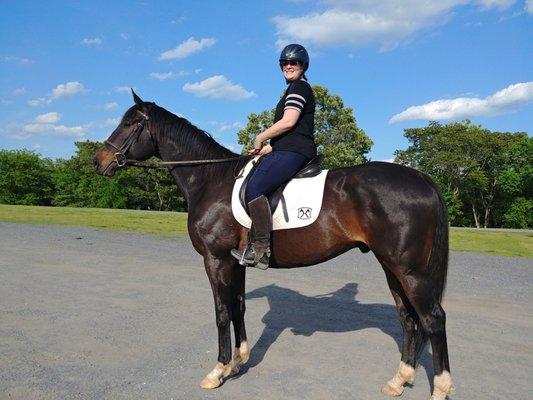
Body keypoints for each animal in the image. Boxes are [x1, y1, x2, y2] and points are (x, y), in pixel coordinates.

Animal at [92, 92, 454, 398]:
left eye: (129, 123)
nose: (98, 161)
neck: (211, 181)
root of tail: (423, 178)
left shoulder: (215, 259)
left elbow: (221, 312)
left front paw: (218, 370)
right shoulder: (236, 261)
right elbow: (238, 306)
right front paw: (238, 362)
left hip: (409, 270)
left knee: (433, 319)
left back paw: (439, 388)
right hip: (392, 267)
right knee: (408, 319)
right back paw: (398, 381)